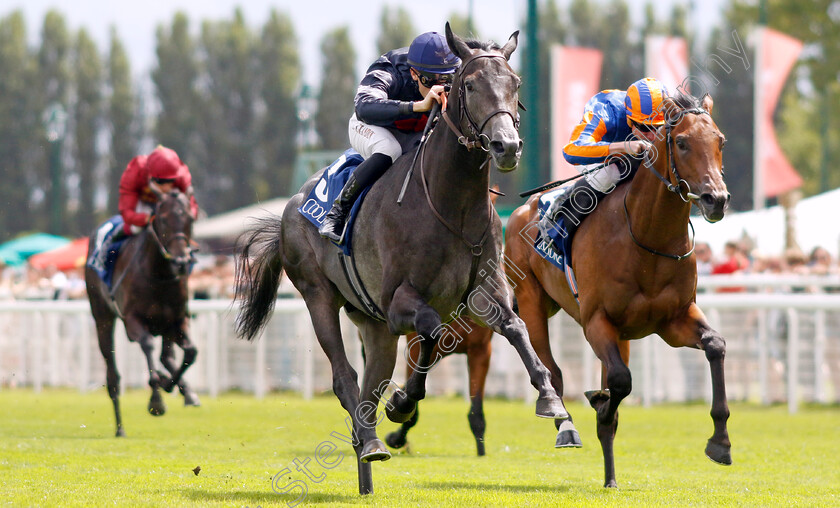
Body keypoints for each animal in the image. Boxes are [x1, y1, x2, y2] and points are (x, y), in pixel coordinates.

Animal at [85, 187, 199, 436]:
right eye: (163, 219)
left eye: (190, 218)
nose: (181, 261)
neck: (159, 274)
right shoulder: (133, 320)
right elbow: (147, 345)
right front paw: (156, 402)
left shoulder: (178, 319)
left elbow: (191, 352)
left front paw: (170, 384)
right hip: (102, 317)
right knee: (113, 375)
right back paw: (120, 428)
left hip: (166, 326)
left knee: (167, 356)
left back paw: (186, 391)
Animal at [233, 21, 568, 494]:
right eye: (468, 84)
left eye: (515, 83)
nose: (507, 146)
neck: (449, 205)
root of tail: (293, 204)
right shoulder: (399, 301)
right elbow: (431, 332)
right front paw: (403, 403)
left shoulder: (484, 291)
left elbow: (516, 329)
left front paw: (553, 402)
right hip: (319, 296)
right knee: (346, 378)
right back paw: (371, 440)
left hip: (370, 322)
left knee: (370, 384)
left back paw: (368, 454)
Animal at [502, 92, 732, 488]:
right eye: (682, 142)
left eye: (720, 141)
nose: (715, 199)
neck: (646, 237)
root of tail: (521, 210)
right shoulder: (596, 321)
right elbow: (621, 382)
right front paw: (601, 405)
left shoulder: (674, 319)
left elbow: (715, 345)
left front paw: (720, 442)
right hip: (532, 301)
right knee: (552, 371)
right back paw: (566, 426)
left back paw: (610, 477)